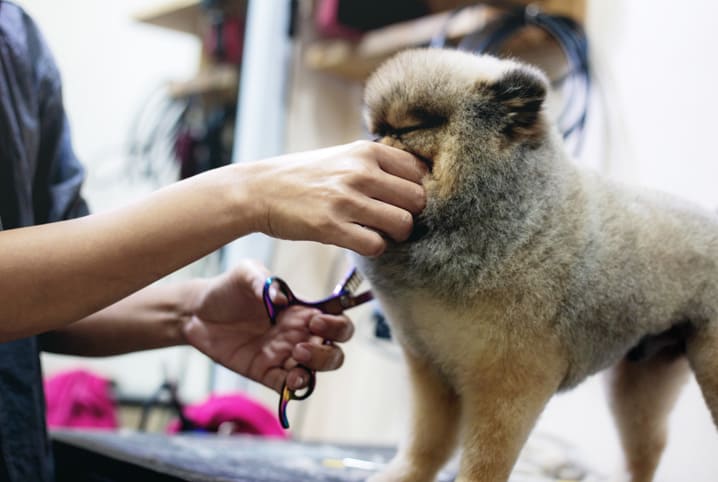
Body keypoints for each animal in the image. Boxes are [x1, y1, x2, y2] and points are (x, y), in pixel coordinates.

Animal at [358, 48, 718, 482]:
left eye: (409, 127)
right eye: (375, 127)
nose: (373, 141)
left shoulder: (510, 383)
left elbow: (483, 463)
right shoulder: (430, 368)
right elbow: (425, 445)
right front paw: (401, 476)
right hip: (642, 376)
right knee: (646, 449)